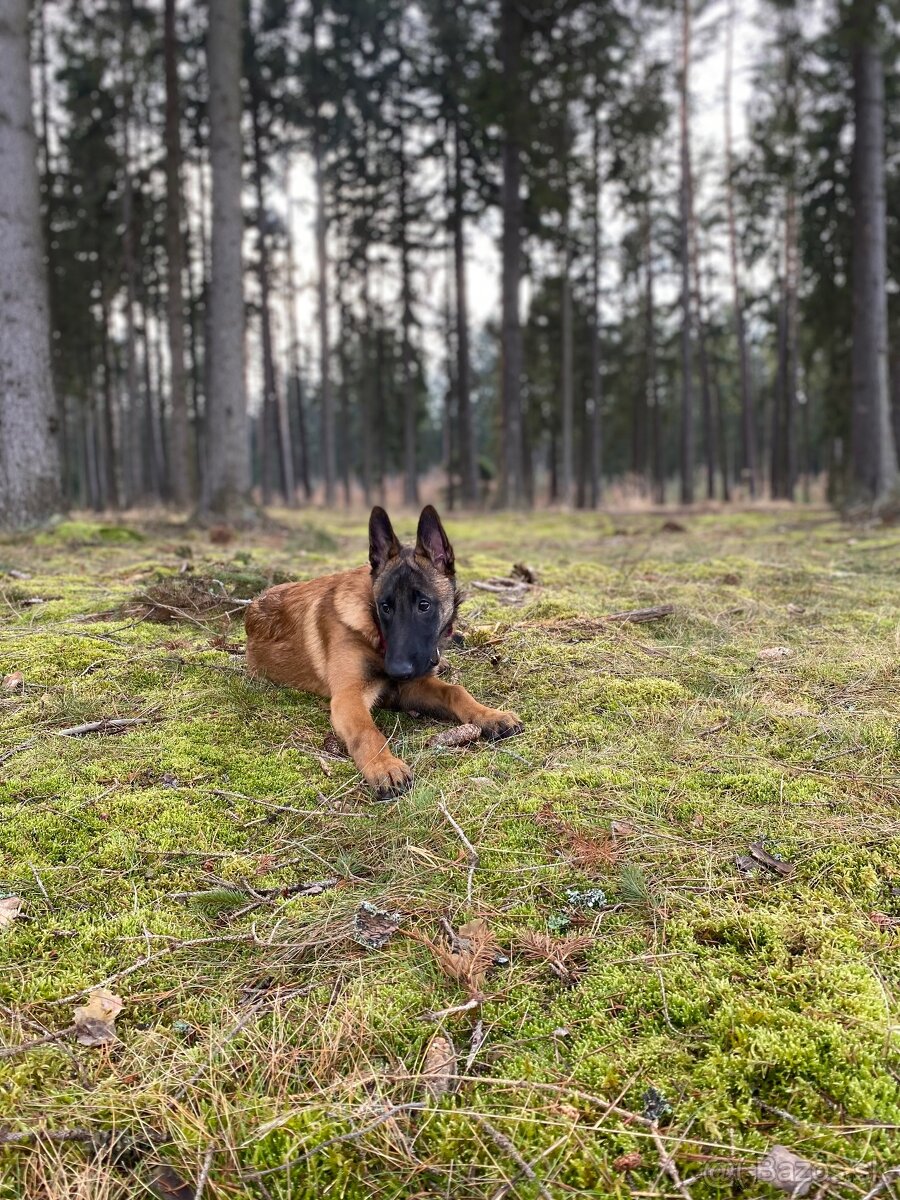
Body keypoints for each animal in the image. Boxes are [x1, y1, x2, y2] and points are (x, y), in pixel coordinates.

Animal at [243, 504, 525, 796]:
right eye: (385, 607)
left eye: (424, 605)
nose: (397, 670)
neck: (375, 631)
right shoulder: (349, 698)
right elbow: (367, 731)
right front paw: (384, 766)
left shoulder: (411, 687)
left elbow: (456, 691)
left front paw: (490, 715)